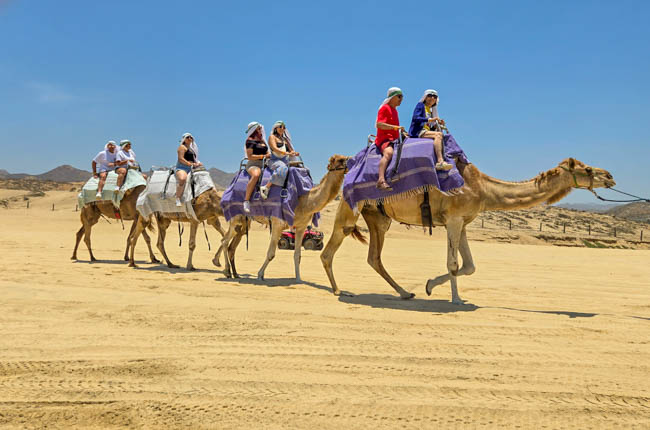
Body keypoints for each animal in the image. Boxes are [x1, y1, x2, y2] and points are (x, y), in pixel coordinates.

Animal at [220, 154, 349, 280]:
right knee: (225, 241)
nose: (349, 163)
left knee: (231, 245)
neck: (304, 200)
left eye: (345, 157)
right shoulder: (277, 224)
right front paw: (260, 275)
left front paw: (298, 279)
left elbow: (297, 255)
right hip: (235, 217)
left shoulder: (301, 227)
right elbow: (271, 253)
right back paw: (227, 272)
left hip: (244, 221)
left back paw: (235, 273)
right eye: (340, 160)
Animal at [320, 158, 615, 304]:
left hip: (379, 217)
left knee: (374, 257)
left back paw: (405, 293)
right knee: (329, 250)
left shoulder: (463, 221)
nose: (611, 176)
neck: (483, 188)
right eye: (588, 168)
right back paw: (338, 291)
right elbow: (453, 263)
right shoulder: (453, 218)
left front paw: (428, 286)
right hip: (350, 208)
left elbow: (470, 265)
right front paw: (456, 299)